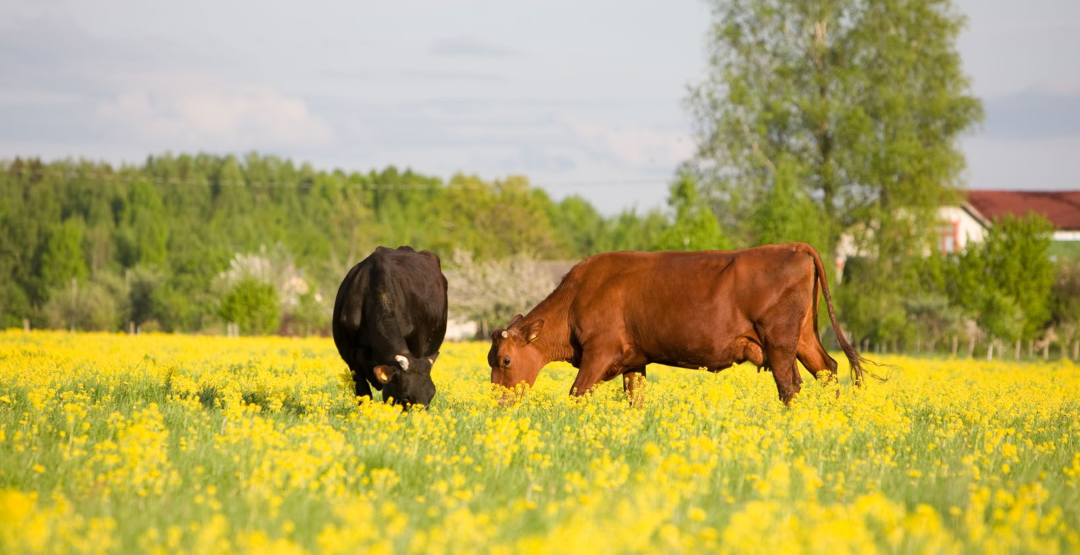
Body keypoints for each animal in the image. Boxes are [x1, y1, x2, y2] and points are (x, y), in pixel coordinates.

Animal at [490, 240, 868, 401]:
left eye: (506, 360)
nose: (497, 402)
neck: (577, 295)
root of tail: (792, 247)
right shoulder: (634, 362)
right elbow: (635, 400)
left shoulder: (599, 352)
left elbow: (577, 393)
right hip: (803, 339)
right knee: (828, 371)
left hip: (780, 344)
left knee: (790, 386)